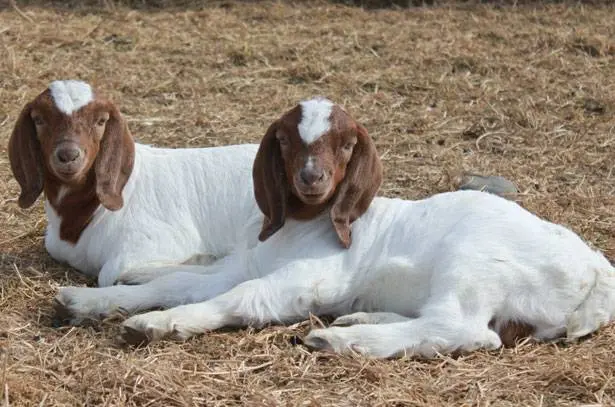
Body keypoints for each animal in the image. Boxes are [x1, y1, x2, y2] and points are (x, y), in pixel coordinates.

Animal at [53, 97, 615, 358]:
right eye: (284, 141)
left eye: (346, 145)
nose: (311, 179)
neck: (298, 230)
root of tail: (594, 266)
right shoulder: (243, 260)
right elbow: (177, 281)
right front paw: (89, 301)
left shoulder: (310, 277)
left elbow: (241, 297)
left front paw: (161, 324)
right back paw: (360, 320)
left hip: (473, 265)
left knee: (463, 329)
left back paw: (342, 342)